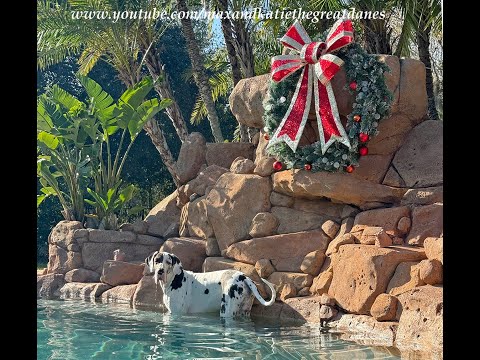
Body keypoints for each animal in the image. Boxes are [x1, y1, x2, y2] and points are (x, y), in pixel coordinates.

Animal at [144, 250, 276, 318]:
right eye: (157, 261)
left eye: (168, 262)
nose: (160, 271)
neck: (175, 279)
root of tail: (244, 277)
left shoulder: (176, 313)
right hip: (244, 312)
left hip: (226, 311)